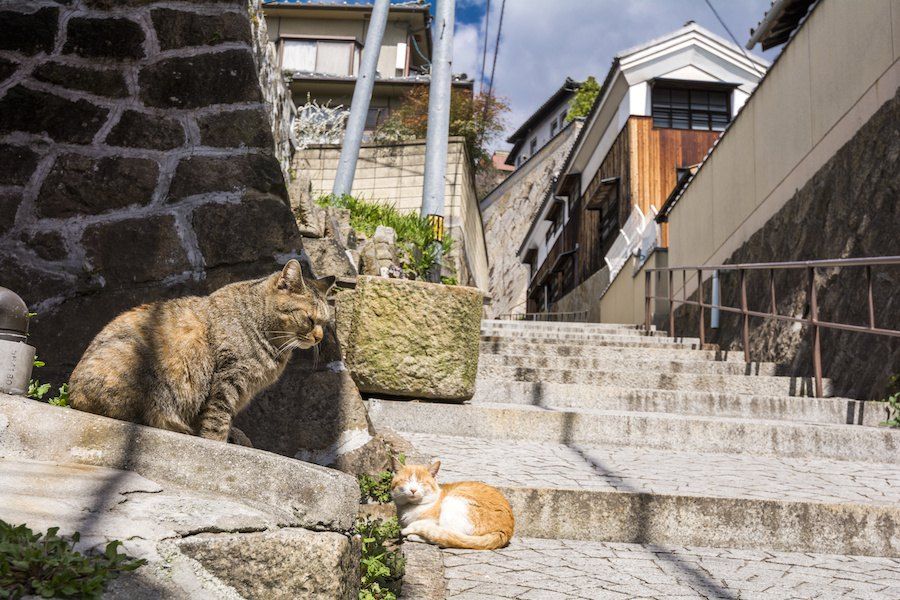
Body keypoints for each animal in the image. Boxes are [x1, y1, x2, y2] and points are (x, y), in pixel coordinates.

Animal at [67, 260, 334, 442]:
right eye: (309, 319)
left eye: (325, 322)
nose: (319, 337)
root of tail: (71, 395)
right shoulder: (228, 378)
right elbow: (217, 420)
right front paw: (218, 441)